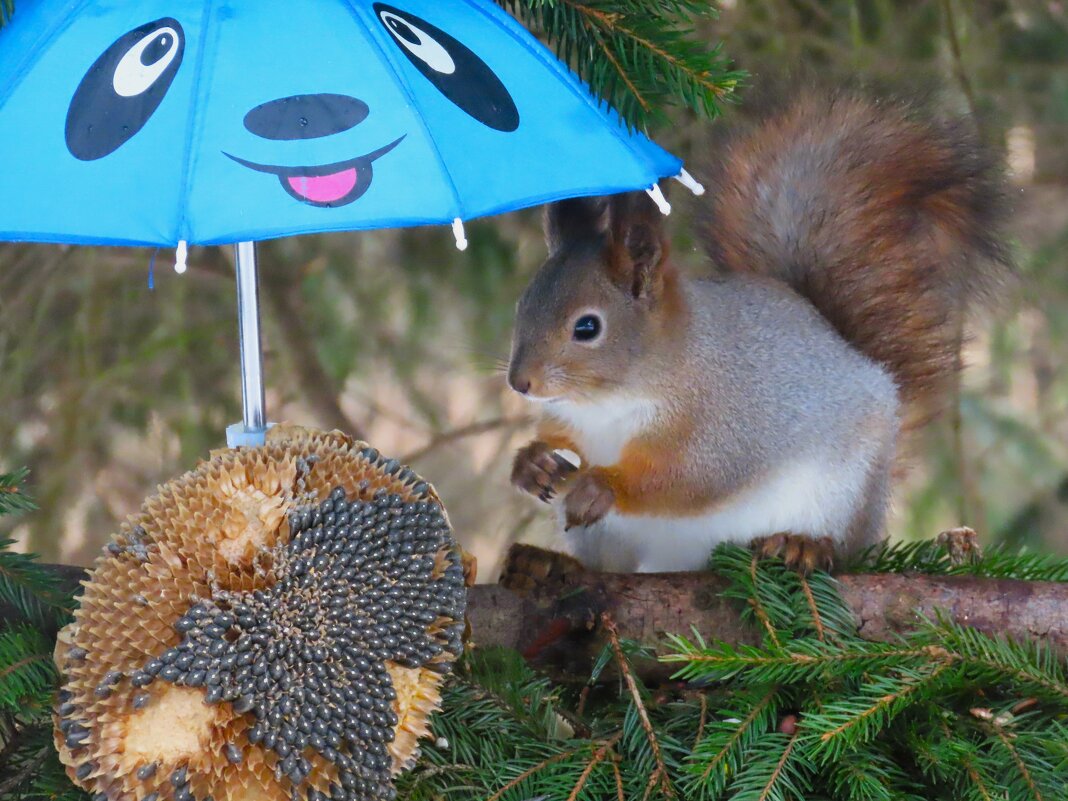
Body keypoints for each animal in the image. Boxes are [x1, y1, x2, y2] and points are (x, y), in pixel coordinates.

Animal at [504, 89, 1012, 576]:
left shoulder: (727, 424)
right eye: (522, 305)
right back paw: (549, 564)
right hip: (610, 538)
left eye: (587, 327)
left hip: (843, 494)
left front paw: (603, 485)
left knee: (840, 547)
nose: (519, 383)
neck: (609, 403)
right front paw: (532, 462)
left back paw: (804, 545)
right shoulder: (571, 421)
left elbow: (690, 478)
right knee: (609, 568)